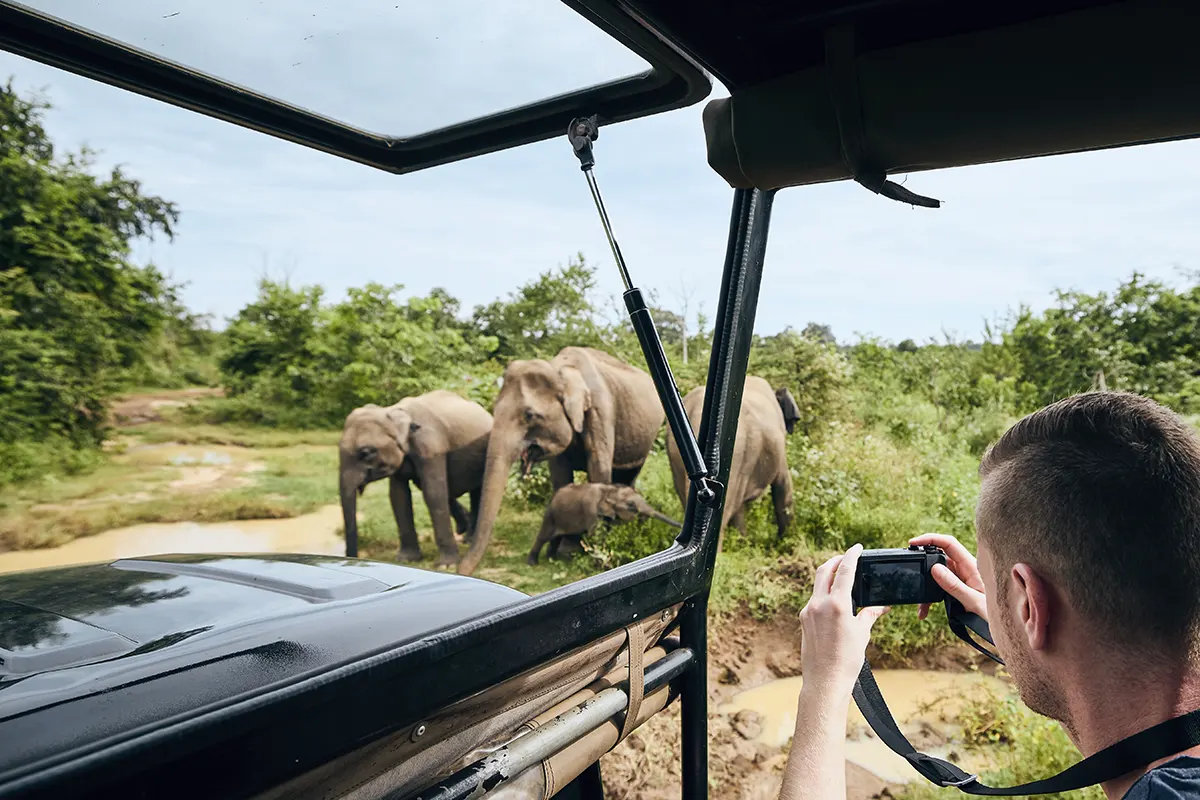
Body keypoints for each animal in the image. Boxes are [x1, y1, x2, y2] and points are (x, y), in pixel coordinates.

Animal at [338, 391, 492, 566]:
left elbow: (433, 493)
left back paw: (469, 539)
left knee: (477, 491)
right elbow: (398, 496)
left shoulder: (431, 447)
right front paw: (406, 559)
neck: (391, 412)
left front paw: (447, 564)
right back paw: (465, 532)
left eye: (367, 452)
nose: (352, 558)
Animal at [456, 345, 667, 575]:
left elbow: (598, 468)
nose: (460, 570)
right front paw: (568, 548)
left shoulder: (600, 412)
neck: (560, 369)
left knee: (631, 473)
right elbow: (560, 474)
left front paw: (580, 549)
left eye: (529, 415)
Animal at [528, 482, 686, 563]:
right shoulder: (590, 509)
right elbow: (595, 535)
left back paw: (552, 559)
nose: (681, 526)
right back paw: (533, 562)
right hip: (551, 514)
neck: (609, 490)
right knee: (544, 536)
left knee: (558, 538)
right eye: (631, 505)